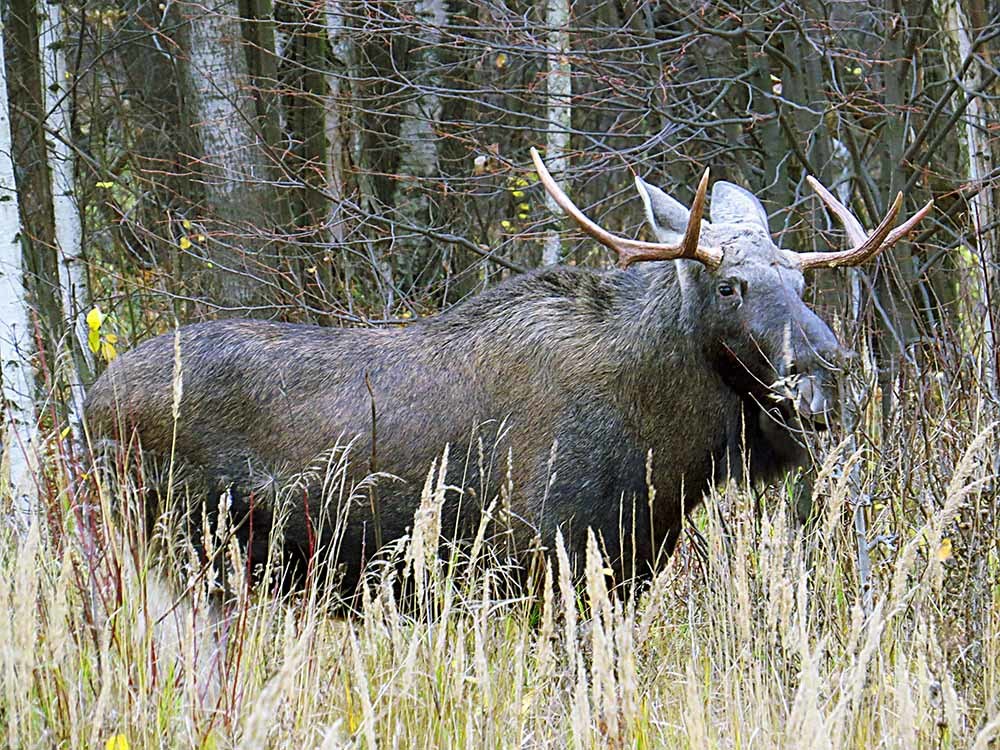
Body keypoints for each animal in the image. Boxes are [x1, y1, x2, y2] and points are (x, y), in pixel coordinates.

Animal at [82, 150, 932, 596]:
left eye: (802, 281)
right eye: (731, 286)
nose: (824, 372)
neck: (668, 450)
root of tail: (84, 406)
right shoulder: (539, 557)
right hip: (170, 548)